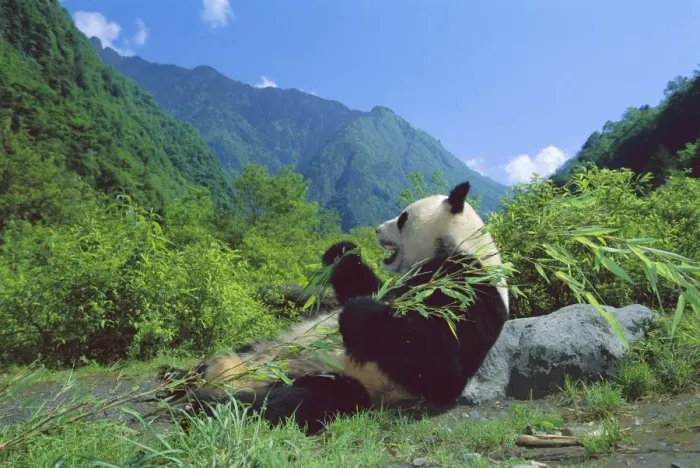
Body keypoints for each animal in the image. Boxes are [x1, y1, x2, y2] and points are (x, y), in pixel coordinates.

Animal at [157, 181, 509, 435]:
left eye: (402, 218)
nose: (376, 230)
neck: (462, 244)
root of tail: (236, 374)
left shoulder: (471, 291)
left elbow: (441, 368)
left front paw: (359, 313)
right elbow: (364, 284)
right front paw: (342, 250)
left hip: (339, 378)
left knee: (295, 401)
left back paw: (206, 403)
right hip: (263, 345)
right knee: (222, 360)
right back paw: (175, 377)